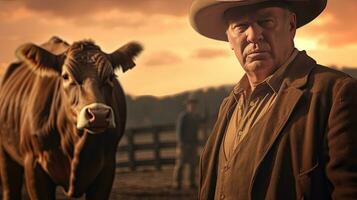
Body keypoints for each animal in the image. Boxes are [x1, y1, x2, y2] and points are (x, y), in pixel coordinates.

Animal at [0, 36, 142, 199]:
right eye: (66, 76)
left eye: (110, 76)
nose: (98, 115)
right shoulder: (34, 165)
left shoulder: (107, 167)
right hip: (6, 155)